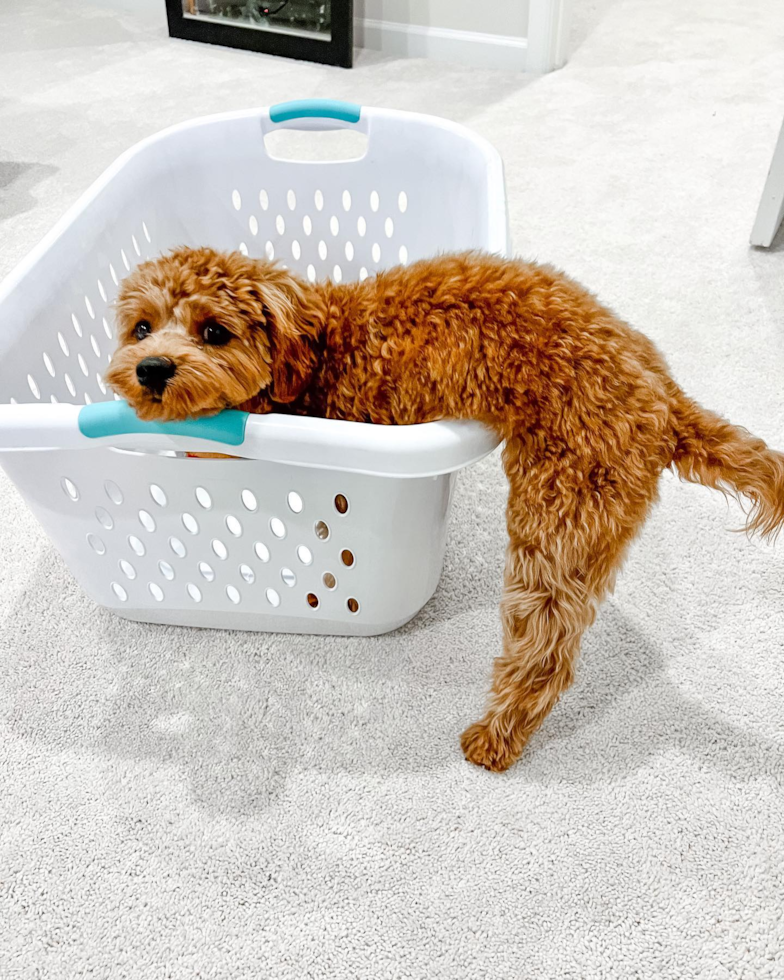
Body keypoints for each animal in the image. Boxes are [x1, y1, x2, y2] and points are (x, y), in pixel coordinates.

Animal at [105, 247, 784, 772]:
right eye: (141, 328)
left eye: (214, 330)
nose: (152, 369)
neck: (316, 352)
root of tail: (664, 397)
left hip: (561, 510)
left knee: (545, 652)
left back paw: (494, 737)